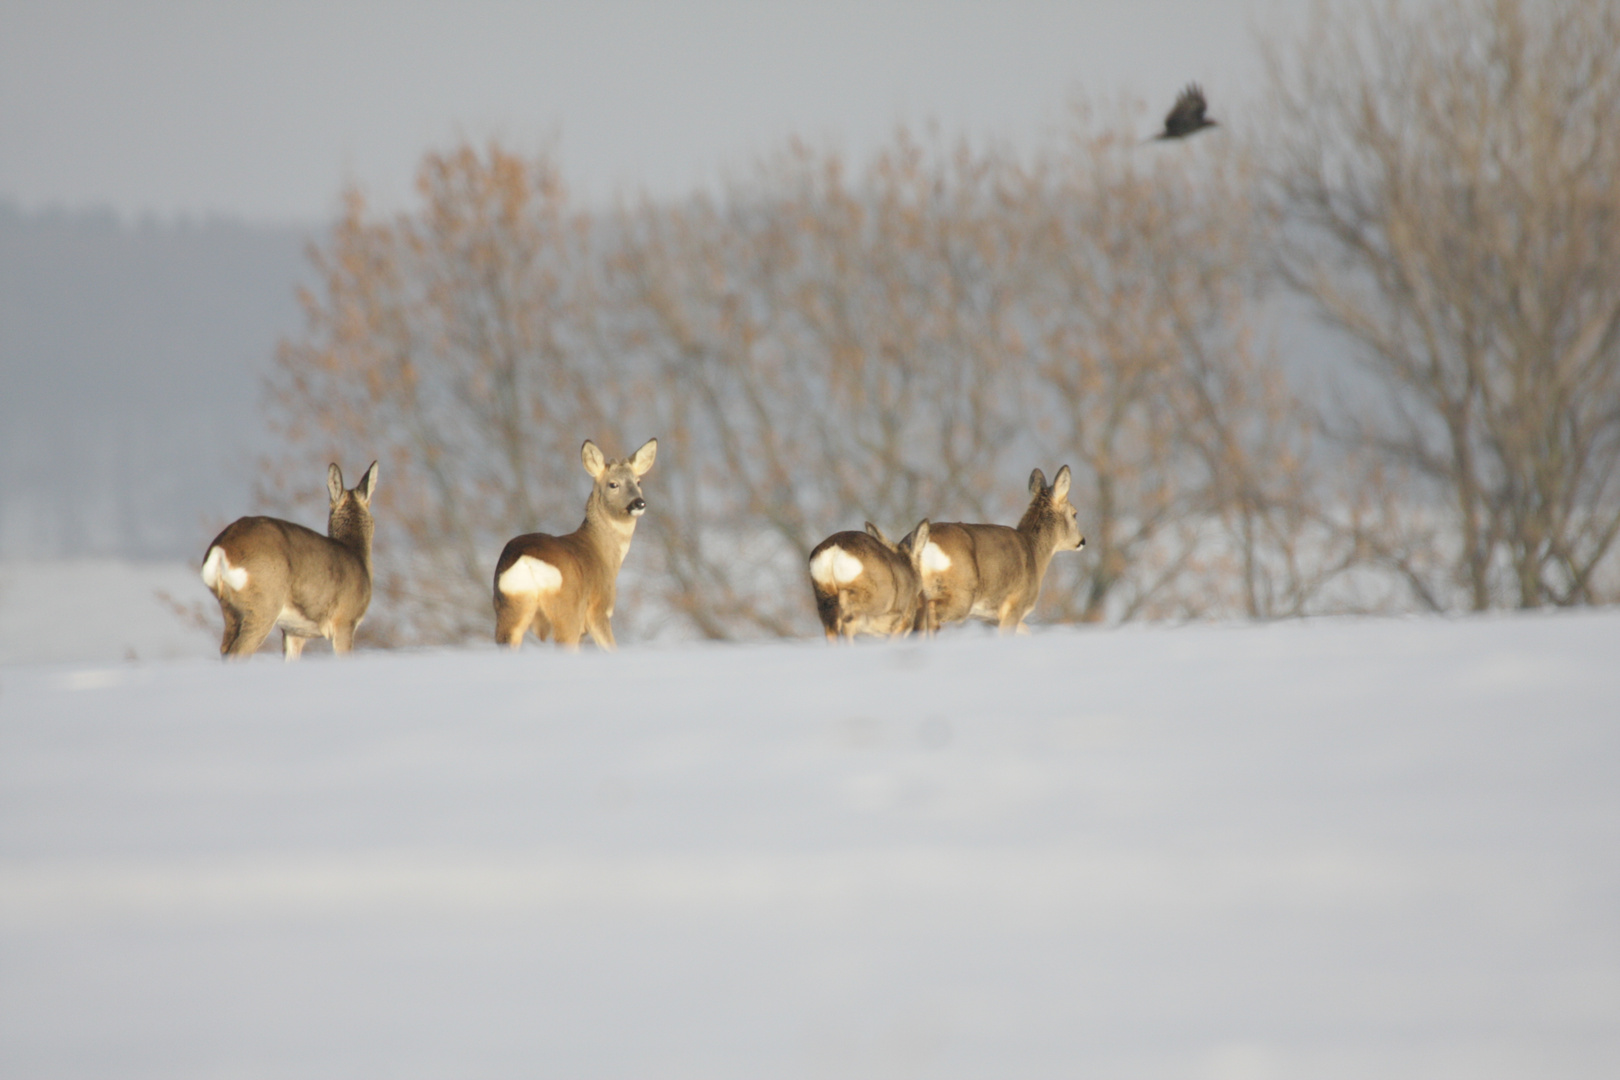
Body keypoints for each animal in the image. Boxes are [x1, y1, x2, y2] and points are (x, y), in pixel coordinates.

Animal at [199, 459, 379, 660]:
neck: (356, 554)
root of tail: (222, 549)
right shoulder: (345, 621)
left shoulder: (294, 632)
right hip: (263, 606)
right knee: (238, 652)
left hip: (229, 608)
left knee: (225, 649)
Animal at [489, 437, 654, 650]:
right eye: (613, 484)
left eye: (638, 481)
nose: (639, 503)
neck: (603, 551)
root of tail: (526, 562)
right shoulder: (598, 610)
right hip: (567, 611)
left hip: (509, 609)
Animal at [810, 521, 939, 641]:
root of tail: (836, 547)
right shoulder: (902, 623)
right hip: (874, 598)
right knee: (848, 620)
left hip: (824, 597)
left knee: (832, 630)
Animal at [920, 466, 1082, 634]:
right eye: (1075, 514)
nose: (1082, 541)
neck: (1034, 553)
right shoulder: (1015, 606)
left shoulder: (992, 618)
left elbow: (1026, 631)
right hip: (961, 595)